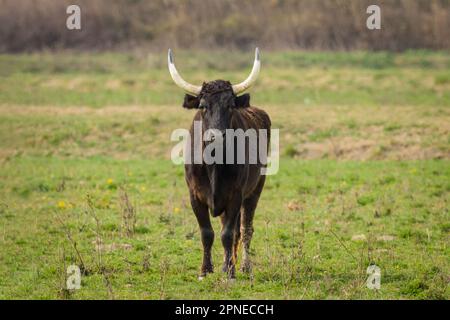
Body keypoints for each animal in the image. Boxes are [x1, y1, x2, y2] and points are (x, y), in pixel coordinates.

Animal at [180, 79, 270, 278]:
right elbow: (207, 233)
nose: (216, 136)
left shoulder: (235, 196)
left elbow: (228, 234)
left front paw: (231, 272)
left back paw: (244, 266)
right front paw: (205, 270)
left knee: (245, 229)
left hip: (255, 190)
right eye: (203, 106)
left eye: (230, 105)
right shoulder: (194, 196)